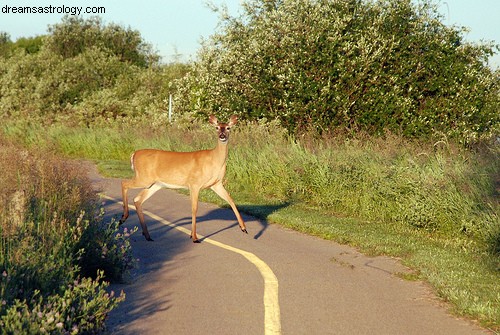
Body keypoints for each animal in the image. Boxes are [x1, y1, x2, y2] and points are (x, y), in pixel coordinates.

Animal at [119, 114, 248, 243]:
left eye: (228, 128)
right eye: (216, 127)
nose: (222, 136)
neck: (214, 160)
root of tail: (134, 154)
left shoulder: (216, 184)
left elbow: (231, 200)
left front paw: (243, 228)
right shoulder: (194, 183)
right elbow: (194, 208)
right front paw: (194, 237)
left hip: (154, 184)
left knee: (137, 199)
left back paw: (147, 235)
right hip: (143, 177)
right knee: (124, 183)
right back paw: (124, 217)